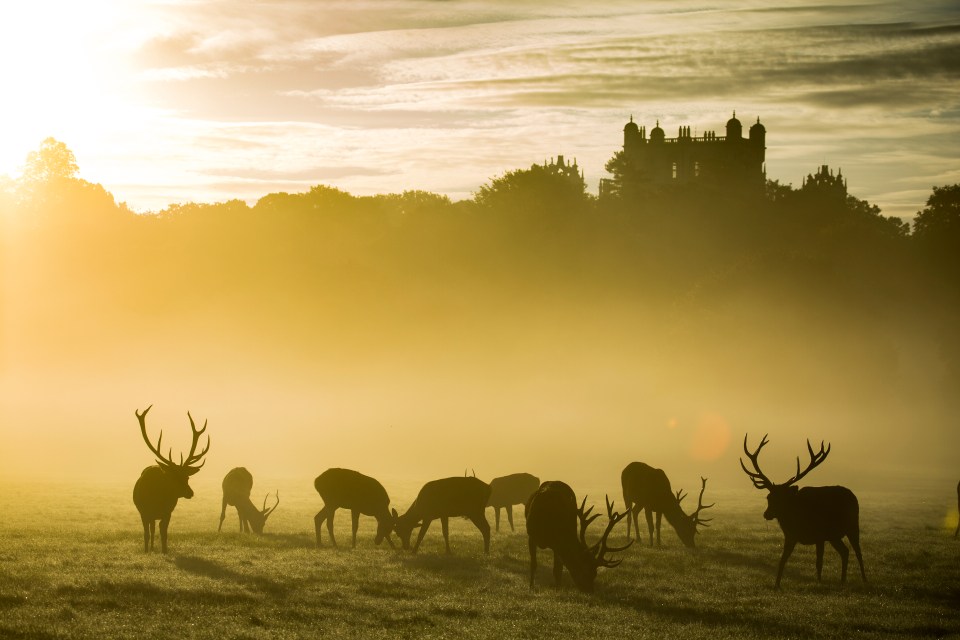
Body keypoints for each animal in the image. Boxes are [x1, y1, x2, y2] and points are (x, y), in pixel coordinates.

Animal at [131, 408, 210, 552]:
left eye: (187, 477)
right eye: (173, 478)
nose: (190, 492)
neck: (157, 498)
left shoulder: (168, 512)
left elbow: (164, 532)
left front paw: (164, 551)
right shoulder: (143, 512)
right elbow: (146, 533)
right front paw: (146, 551)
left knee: (156, 528)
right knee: (151, 529)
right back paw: (151, 548)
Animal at [740, 432, 868, 588]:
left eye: (782, 498)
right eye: (768, 497)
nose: (767, 514)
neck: (798, 521)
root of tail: (853, 495)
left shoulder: (820, 534)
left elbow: (819, 562)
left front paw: (819, 582)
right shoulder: (791, 536)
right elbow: (782, 560)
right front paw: (776, 585)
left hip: (852, 525)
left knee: (858, 551)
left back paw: (864, 579)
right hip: (834, 535)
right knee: (845, 551)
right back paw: (842, 580)